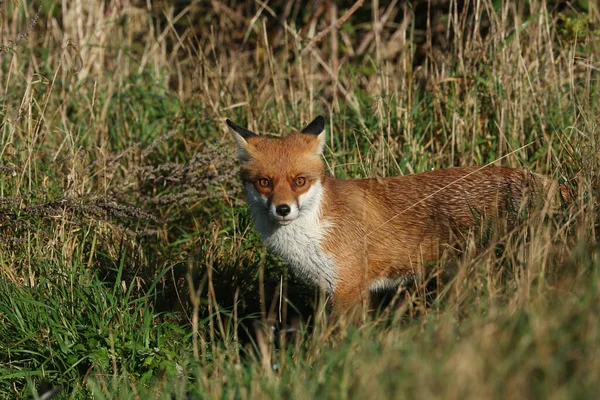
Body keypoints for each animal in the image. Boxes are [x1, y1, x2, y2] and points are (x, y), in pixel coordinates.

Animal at [226, 115, 568, 310]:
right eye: (264, 182)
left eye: (300, 181)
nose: (283, 209)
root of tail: (549, 181)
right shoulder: (330, 290)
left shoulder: (349, 289)